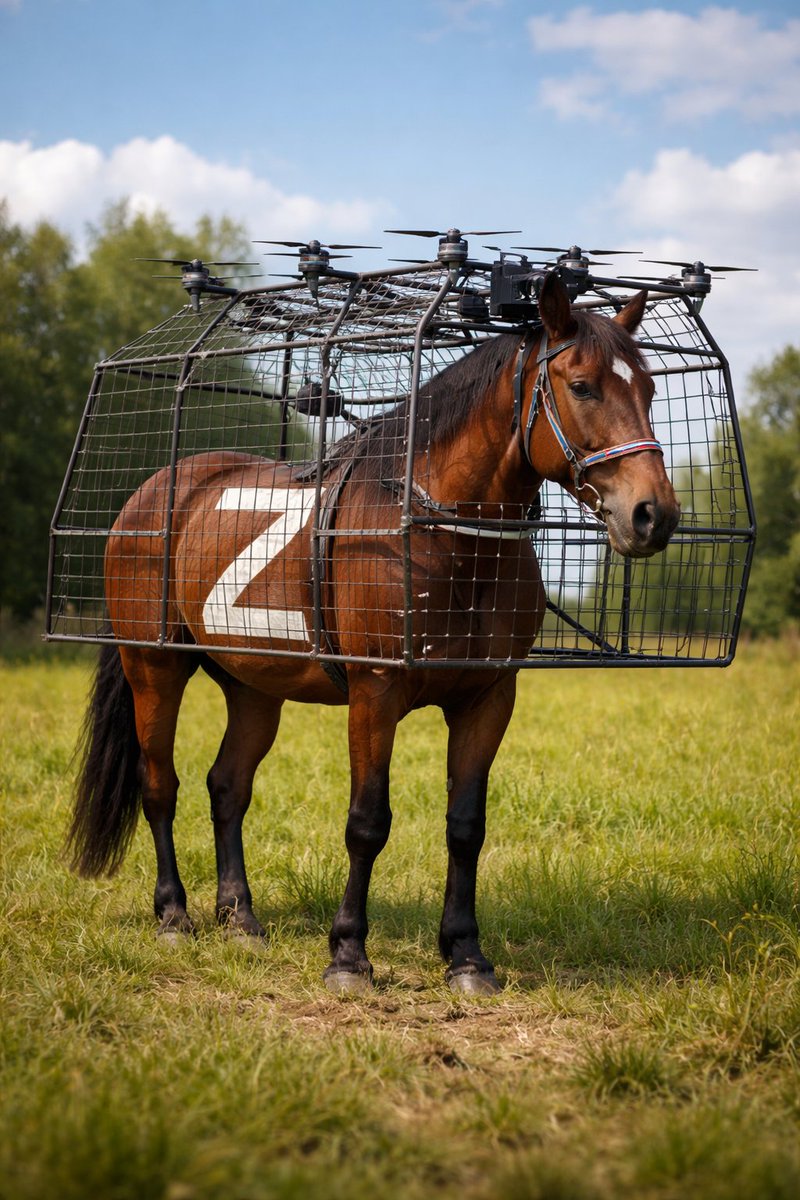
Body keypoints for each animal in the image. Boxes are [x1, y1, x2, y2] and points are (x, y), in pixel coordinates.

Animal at [67, 272, 680, 995]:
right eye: (582, 385)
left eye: (649, 389)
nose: (653, 513)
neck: (437, 534)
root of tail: (156, 492)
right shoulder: (374, 694)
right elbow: (367, 823)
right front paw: (348, 955)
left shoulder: (488, 697)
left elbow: (465, 826)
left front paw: (466, 955)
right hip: (153, 668)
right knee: (159, 784)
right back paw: (172, 915)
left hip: (253, 685)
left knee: (228, 788)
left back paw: (240, 917)